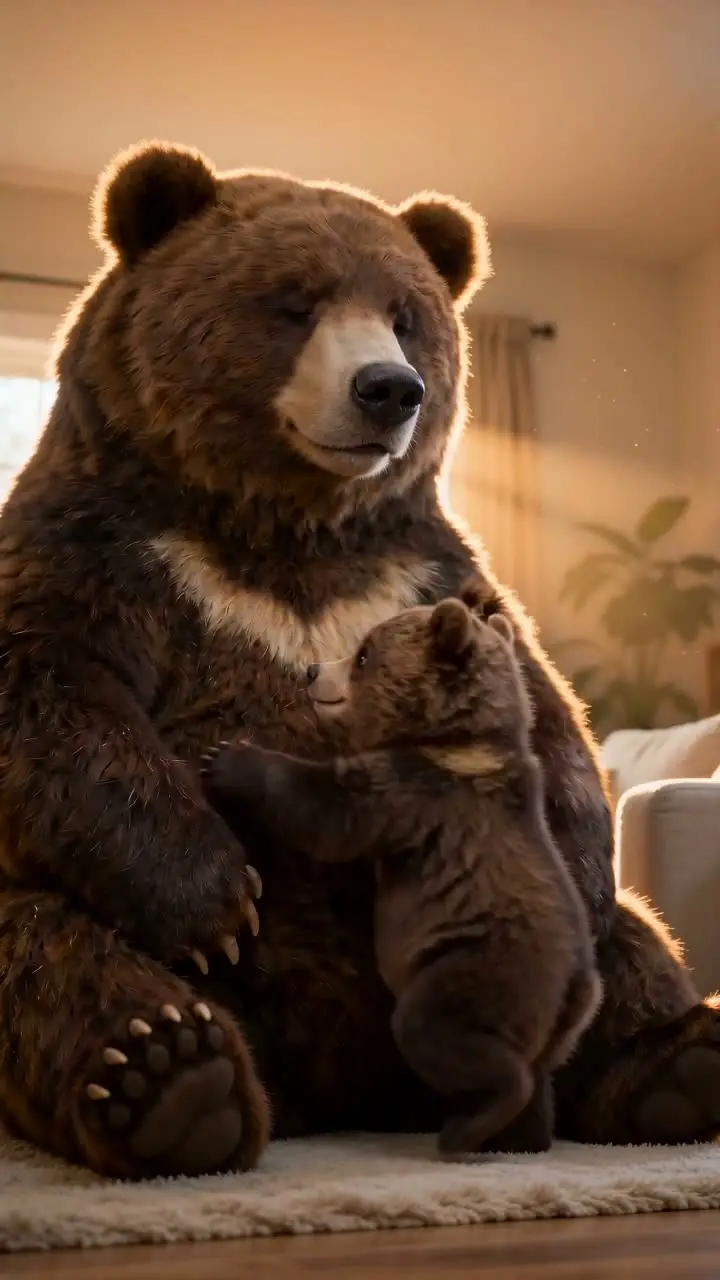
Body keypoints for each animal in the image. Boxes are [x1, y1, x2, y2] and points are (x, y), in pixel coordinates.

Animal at [201, 590, 602, 1156]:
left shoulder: (414, 796)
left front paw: (229, 759)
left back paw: (464, 1125)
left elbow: (326, 811)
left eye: (364, 653)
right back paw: (519, 1135)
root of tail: (574, 992)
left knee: (435, 1032)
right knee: (538, 1073)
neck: (456, 742)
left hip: (476, 968)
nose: (312, 671)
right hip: (550, 1024)